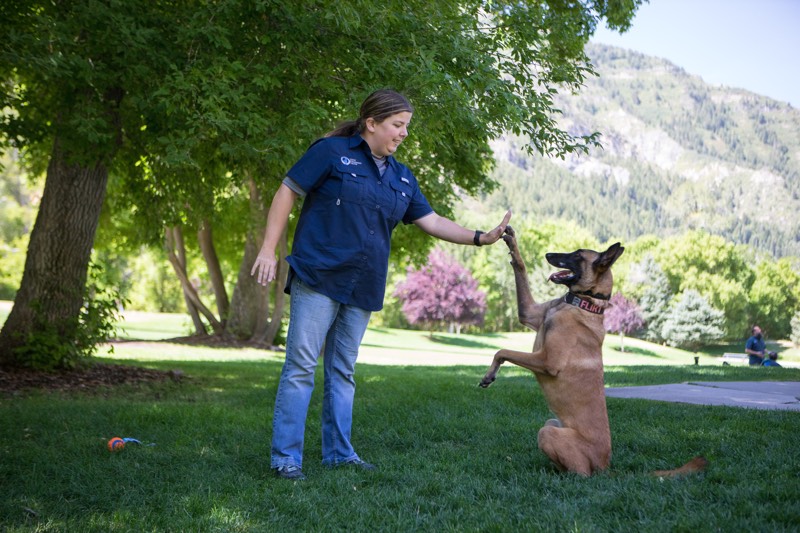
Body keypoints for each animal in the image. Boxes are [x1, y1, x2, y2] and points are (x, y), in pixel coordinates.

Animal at [478, 229, 704, 478]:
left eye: (577, 255)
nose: (548, 254)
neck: (582, 302)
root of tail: (606, 466)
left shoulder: (547, 361)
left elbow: (502, 351)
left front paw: (489, 375)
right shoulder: (528, 313)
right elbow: (520, 267)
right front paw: (511, 241)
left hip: (548, 433)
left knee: (581, 474)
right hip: (551, 422)